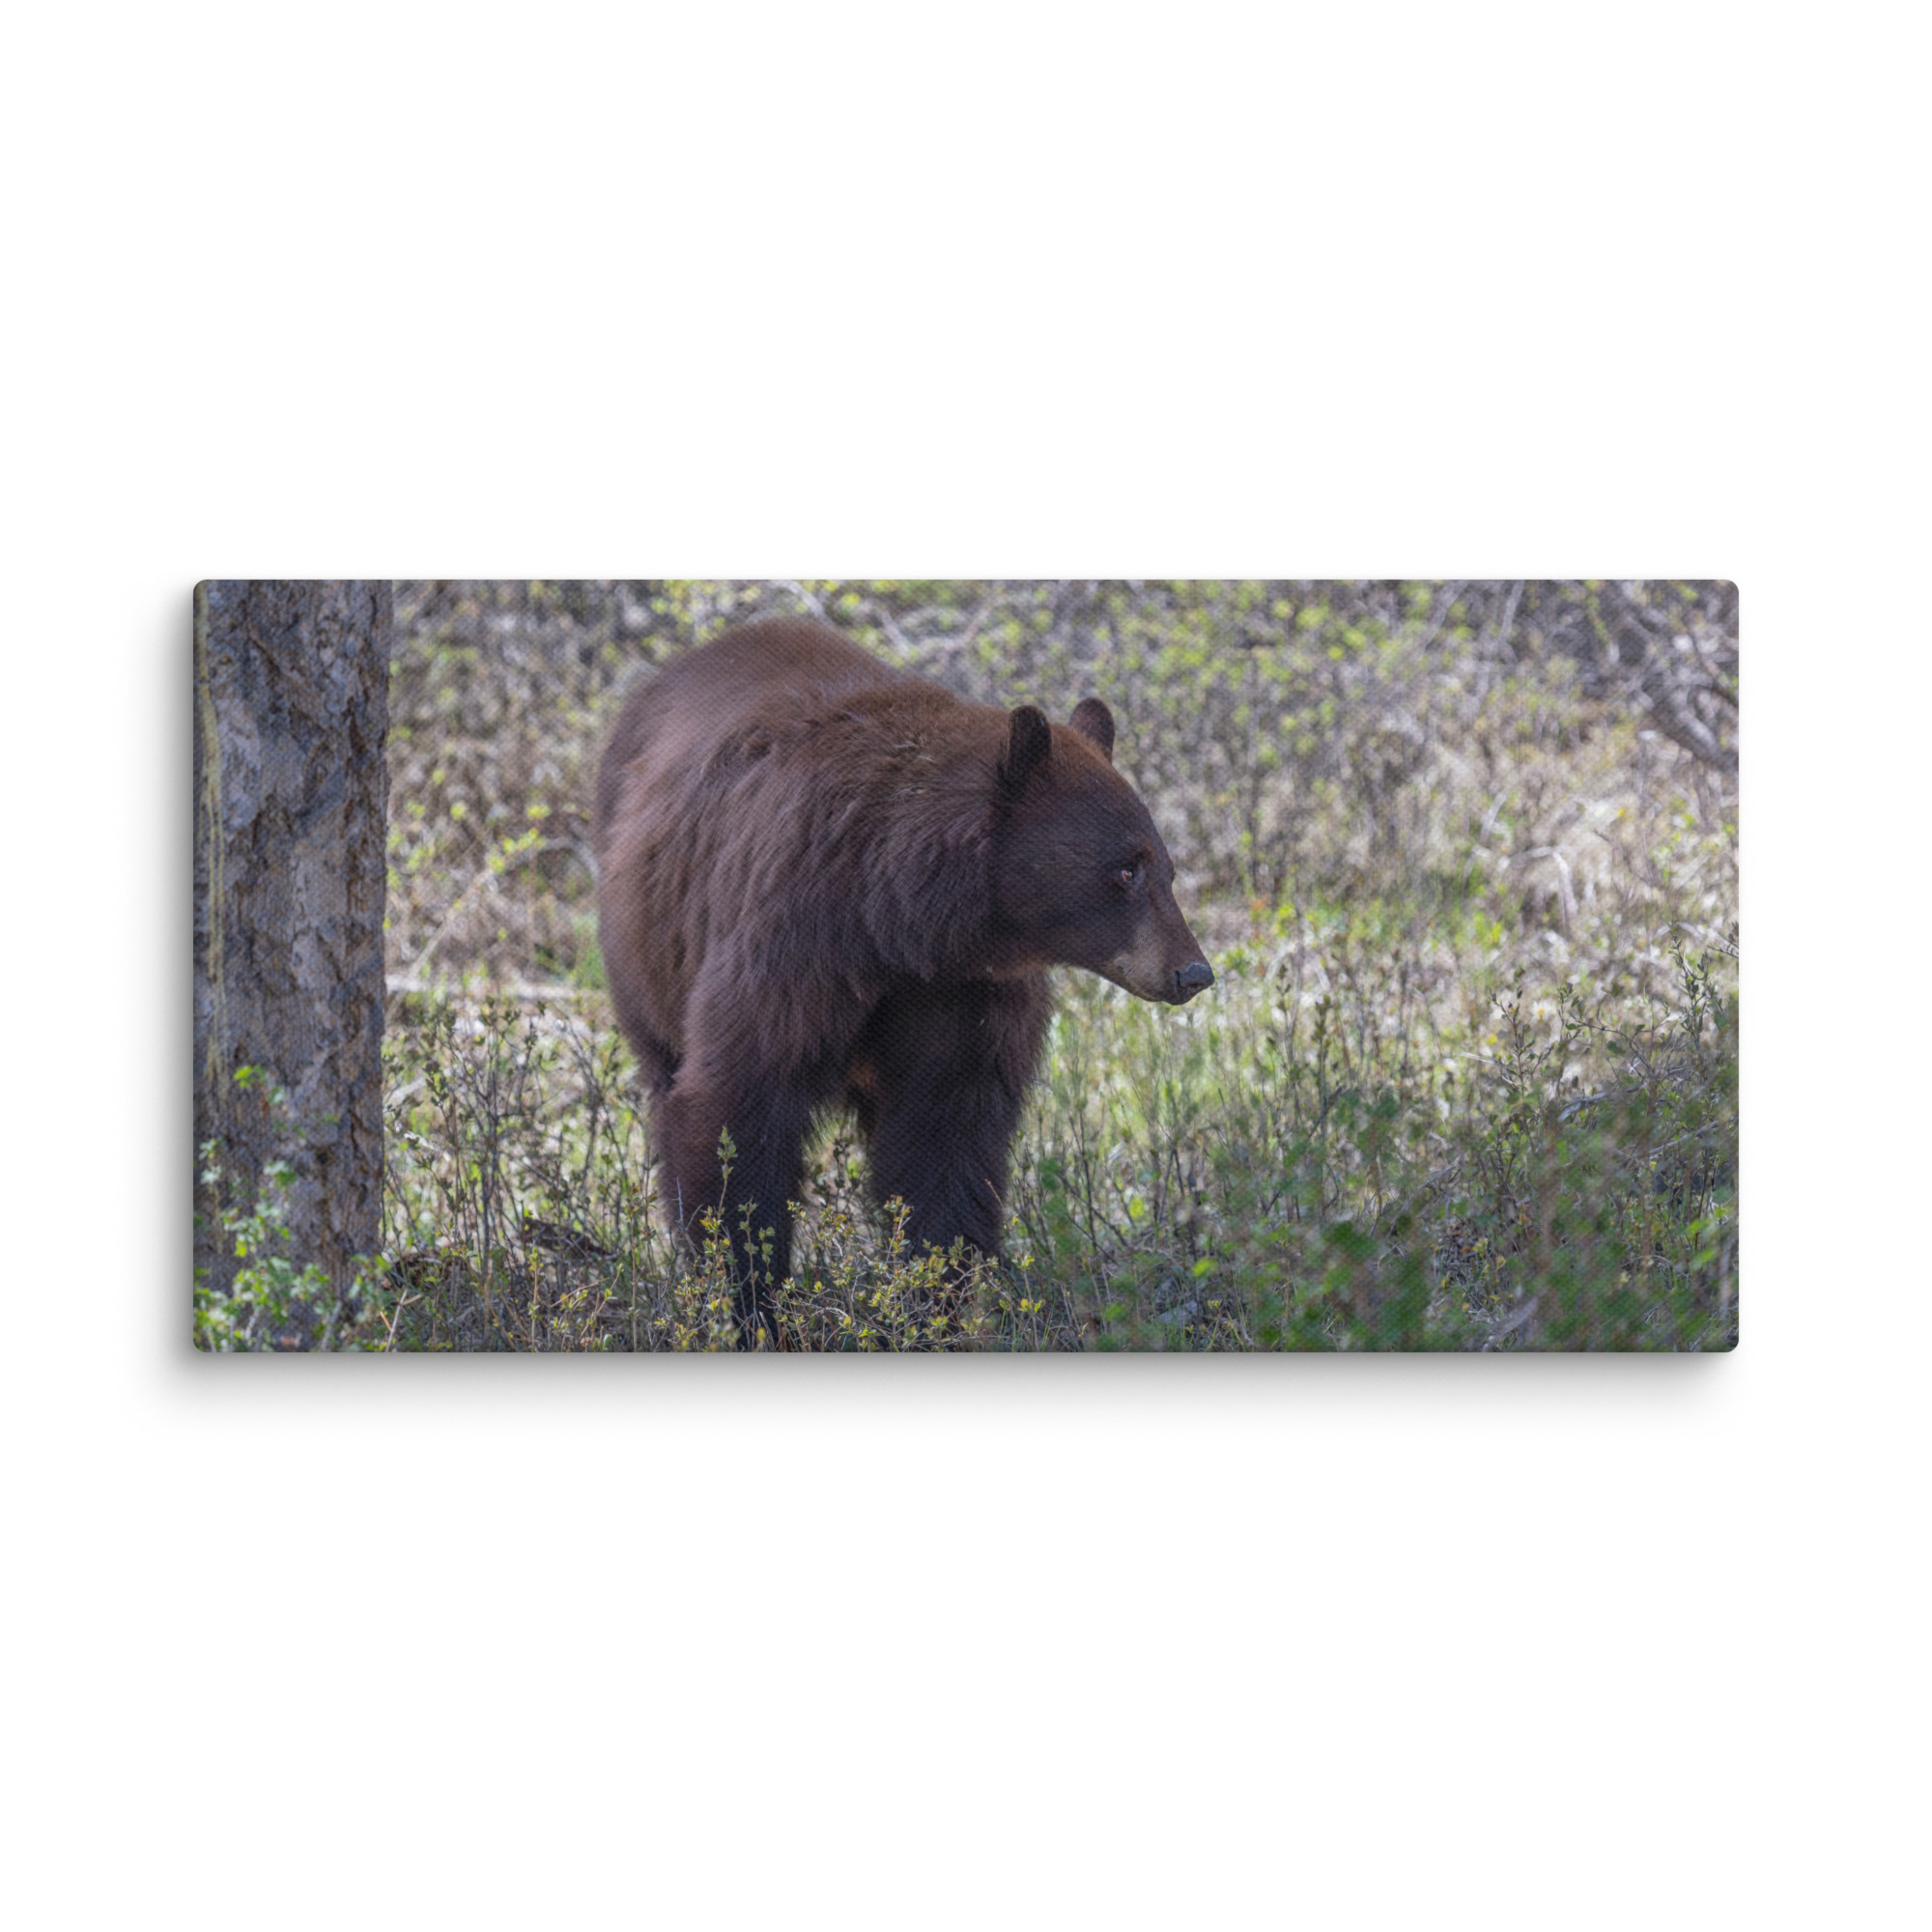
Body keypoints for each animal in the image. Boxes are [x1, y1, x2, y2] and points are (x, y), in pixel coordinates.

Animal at [592, 615, 1213, 1339]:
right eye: (1125, 869)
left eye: (1165, 867)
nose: (1192, 971)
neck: (900, 919)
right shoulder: (794, 938)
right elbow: (739, 1103)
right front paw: (749, 1303)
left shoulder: (965, 994)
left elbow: (946, 1135)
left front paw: (932, 1305)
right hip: (646, 949)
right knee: (666, 1079)